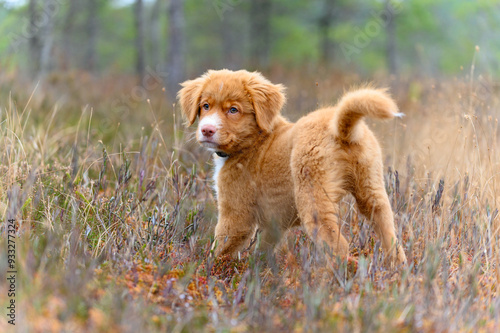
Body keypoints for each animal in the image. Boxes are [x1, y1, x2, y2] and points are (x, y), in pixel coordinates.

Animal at [179, 69, 406, 264]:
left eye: (233, 110)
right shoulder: (275, 223)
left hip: (312, 195)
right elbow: (264, 247)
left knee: (337, 245)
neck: (255, 140)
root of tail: (341, 131)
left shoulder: (236, 213)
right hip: (371, 190)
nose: (207, 130)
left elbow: (221, 248)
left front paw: (210, 270)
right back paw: (396, 268)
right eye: (205, 106)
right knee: (390, 236)